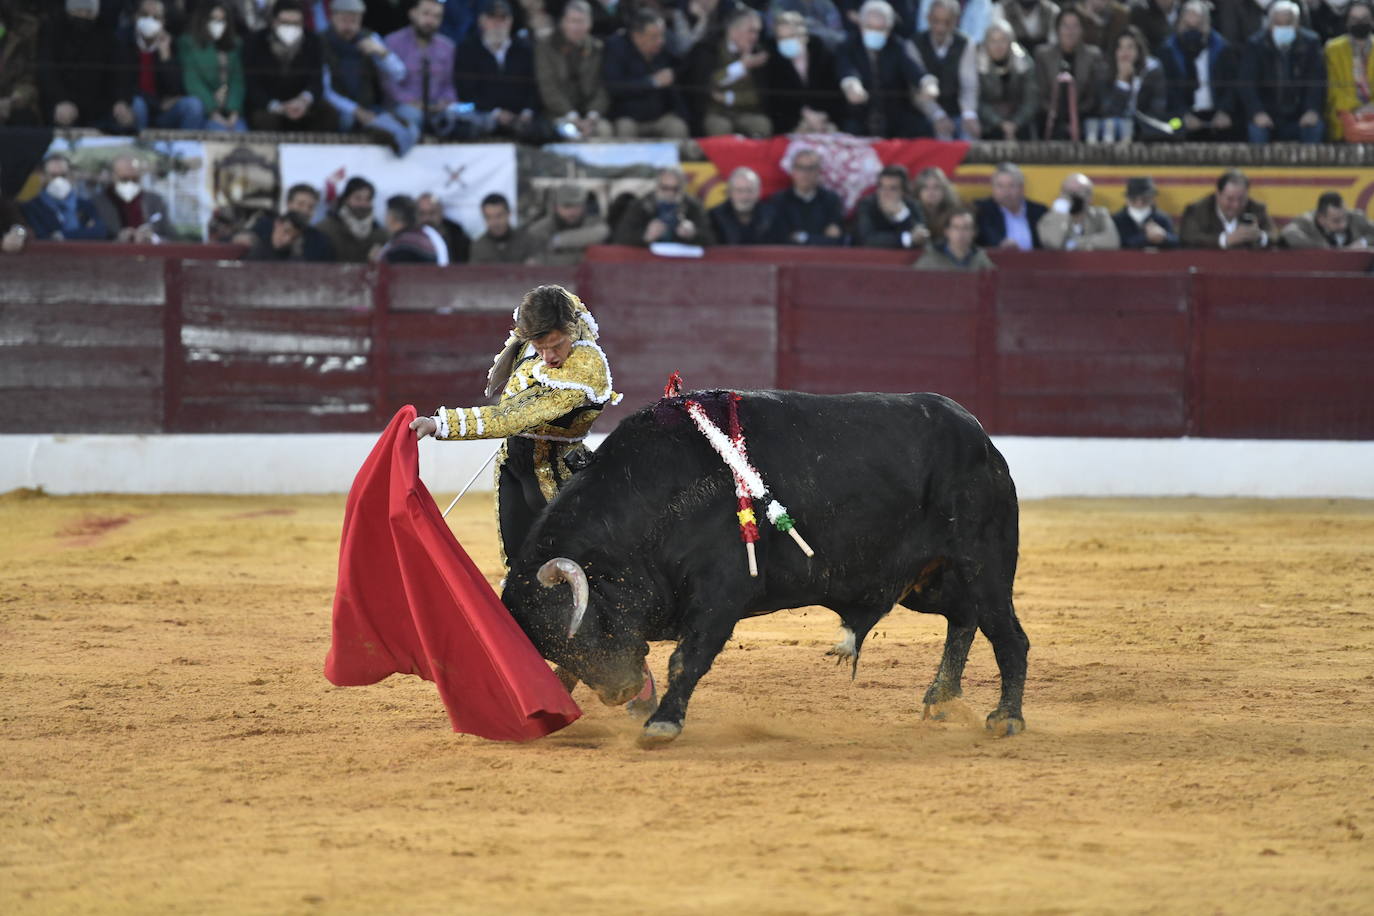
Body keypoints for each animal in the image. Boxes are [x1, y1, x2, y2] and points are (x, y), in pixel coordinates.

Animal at [500, 390, 1027, 747]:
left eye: (585, 623)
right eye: (550, 639)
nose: (621, 690)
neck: (655, 497)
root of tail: (980, 437)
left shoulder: (721, 594)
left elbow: (687, 658)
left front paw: (661, 724)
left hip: (983, 561)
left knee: (1006, 632)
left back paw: (1005, 718)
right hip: (923, 580)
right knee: (964, 617)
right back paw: (940, 699)